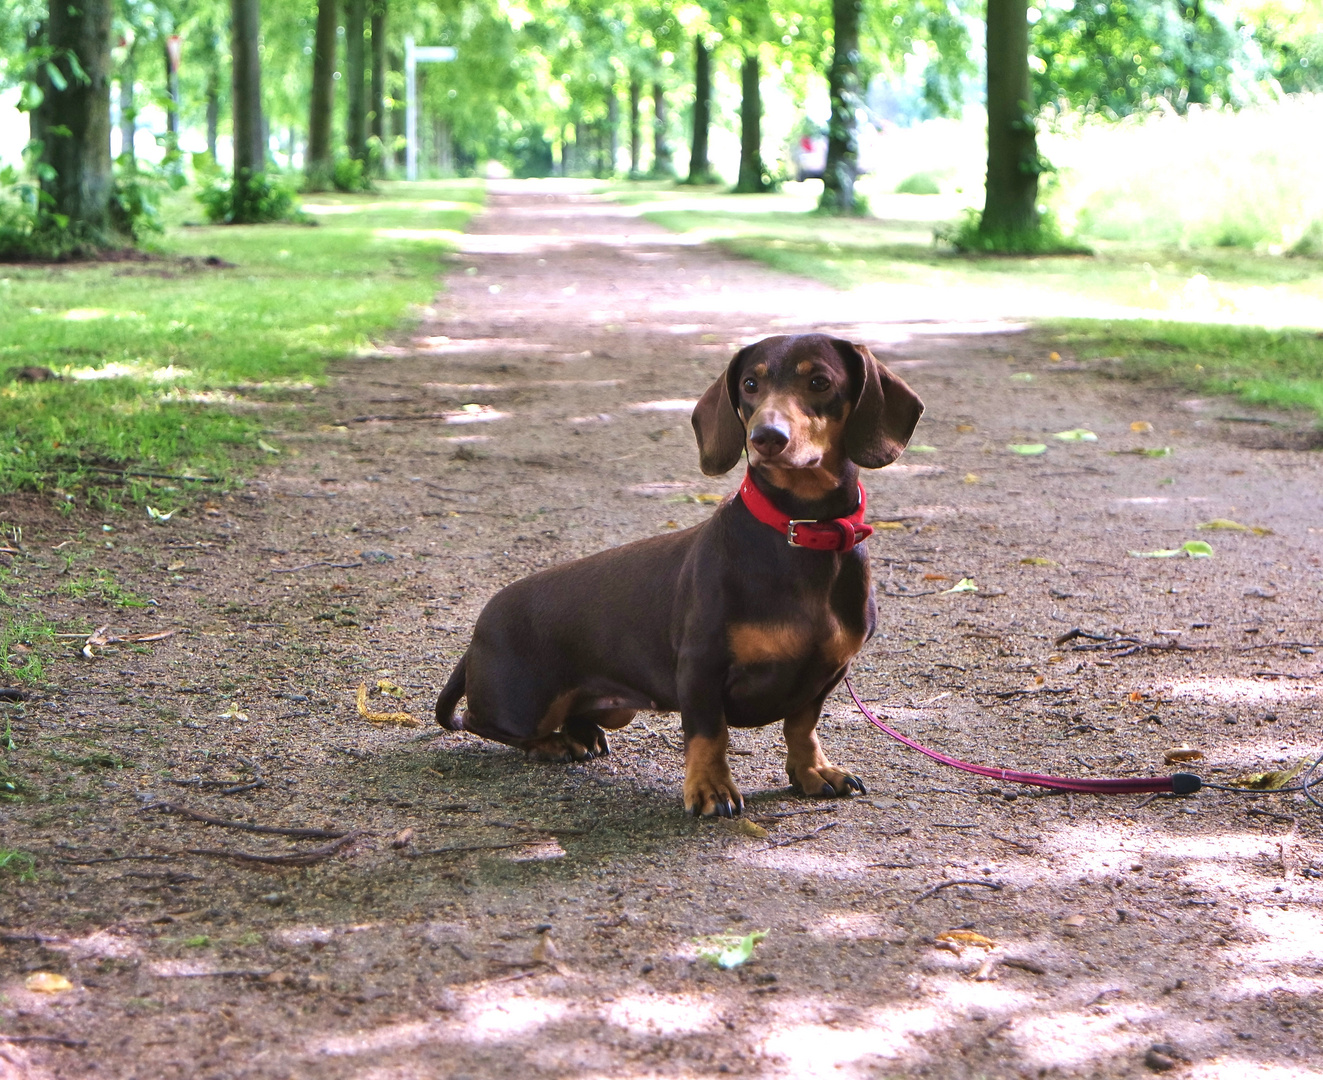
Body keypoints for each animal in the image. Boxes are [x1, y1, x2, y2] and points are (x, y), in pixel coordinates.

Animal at [433, 333, 920, 815]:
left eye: (819, 381)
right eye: (749, 384)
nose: (765, 437)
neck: (800, 532)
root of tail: (477, 634)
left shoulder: (826, 672)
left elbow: (802, 725)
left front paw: (814, 772)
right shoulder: (699, 666)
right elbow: (708, 733)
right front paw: (710, 789)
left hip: (616, 707)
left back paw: (582, 734)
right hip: (524, 704)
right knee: (480, 721)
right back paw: (550, 744)